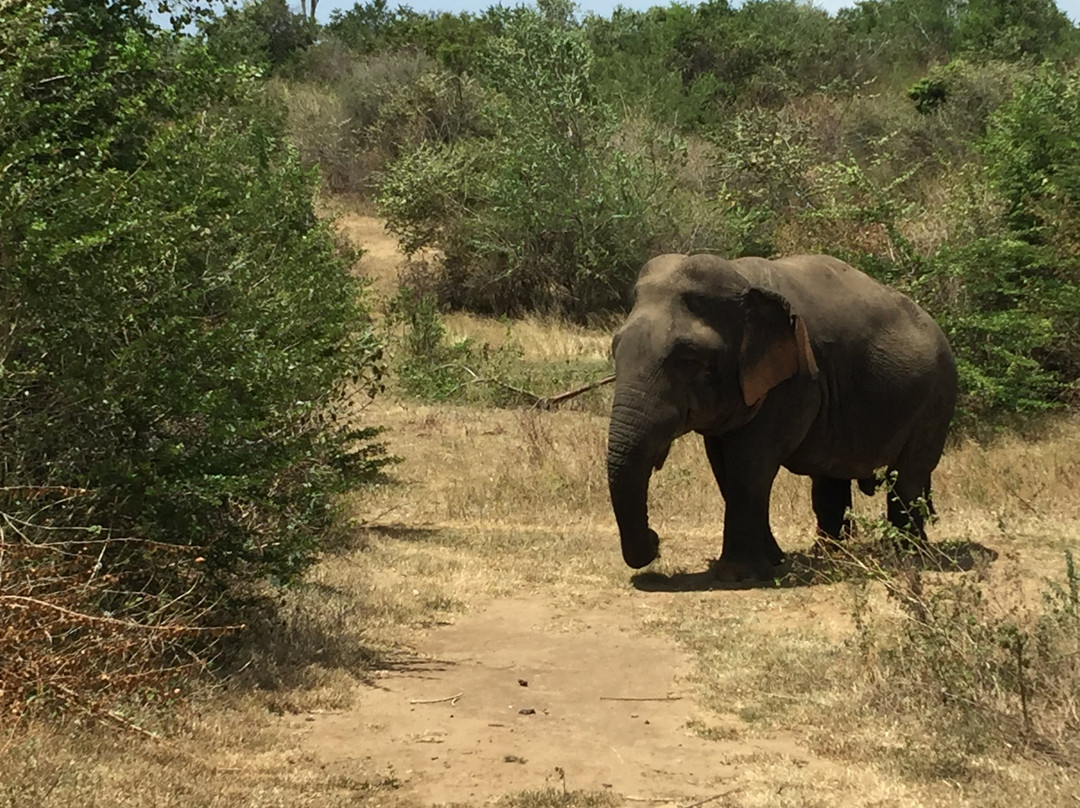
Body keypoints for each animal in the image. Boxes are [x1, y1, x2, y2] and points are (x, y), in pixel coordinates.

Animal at [609, 252, 954, 578]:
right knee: (831, 478)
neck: (741, 278)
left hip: (937, 399)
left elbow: (750, 464)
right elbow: (723, 465)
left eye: (688, 359)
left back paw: (908, 553)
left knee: (909, 476)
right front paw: (774, 561)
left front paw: (737, 575)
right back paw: (829, 555)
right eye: (615, 348)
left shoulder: (792, 384)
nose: (655, 540)